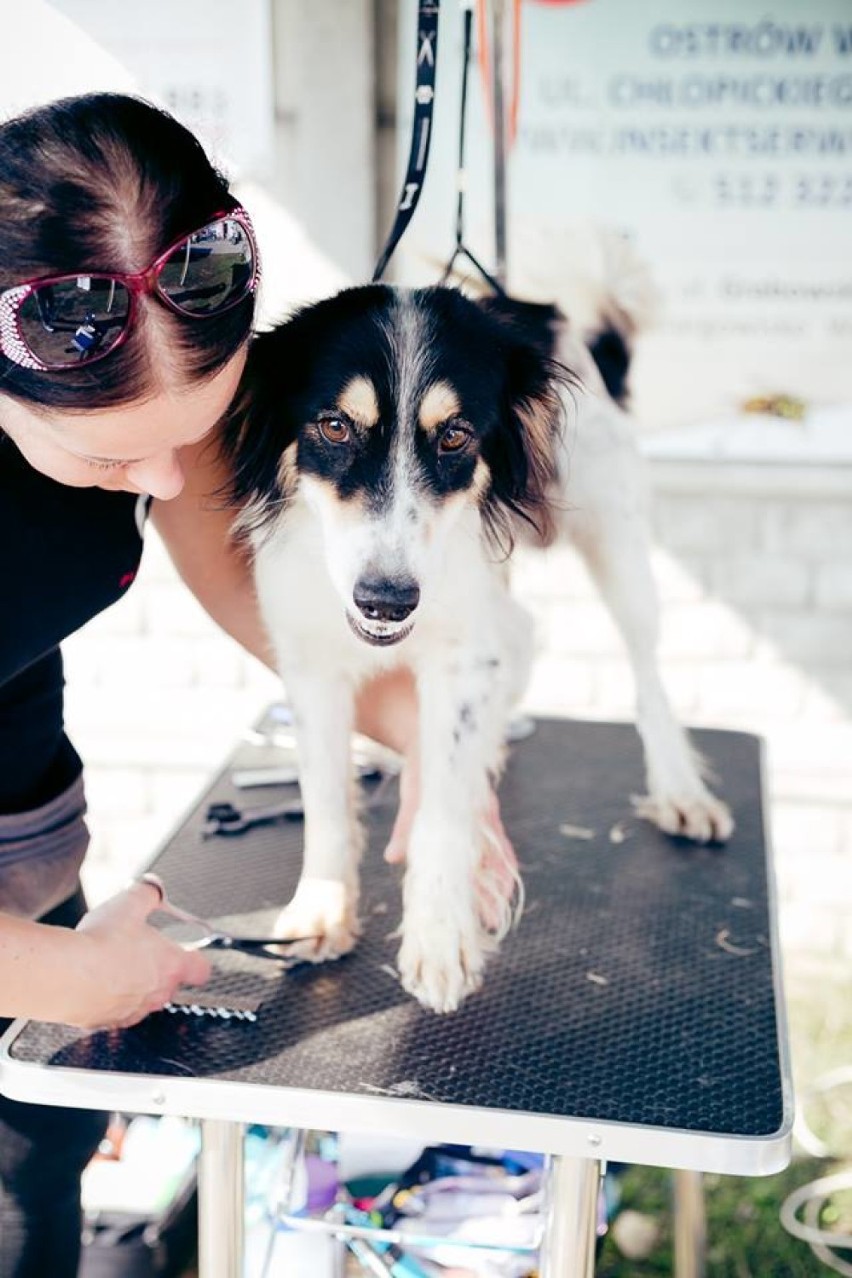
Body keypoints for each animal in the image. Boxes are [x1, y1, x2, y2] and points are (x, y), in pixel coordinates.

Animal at [224, 284, 735, 1012]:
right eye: (335, 427)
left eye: (455, 435)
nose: (386, 601)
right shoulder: (311, 661)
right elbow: (324, 797)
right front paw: (323, 908)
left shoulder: (460, 658)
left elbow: (442, 799)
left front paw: (440, 937)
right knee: (522, 634)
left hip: (615, 535)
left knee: (645, 672)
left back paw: (680, 789)